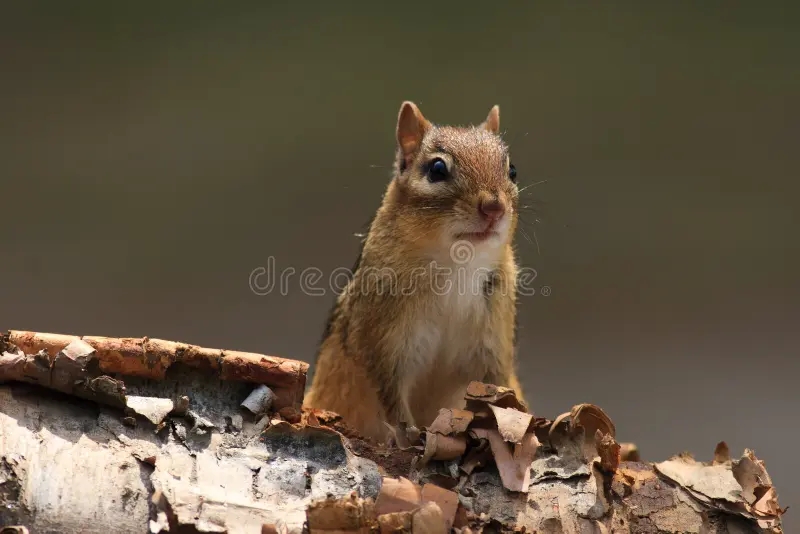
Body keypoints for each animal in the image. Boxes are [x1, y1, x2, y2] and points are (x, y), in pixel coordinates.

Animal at [303, 101, 524, 442]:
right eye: (437, 169)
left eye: (511, 170)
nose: (494, 208)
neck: (456, 265)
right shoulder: (384, 342)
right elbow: (390, 393)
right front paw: (409, 434)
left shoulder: (492, 347)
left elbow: (497, 389)